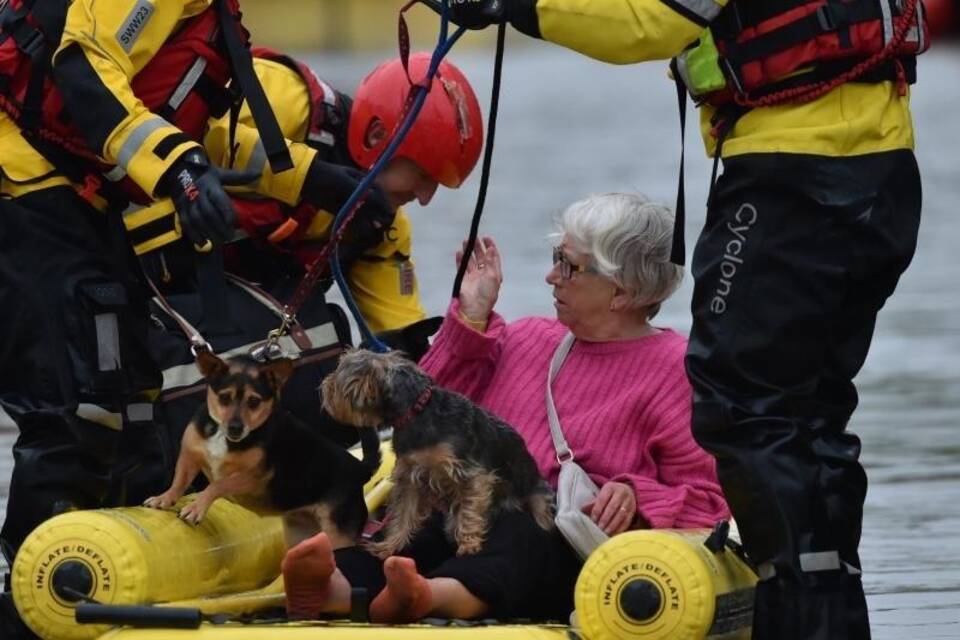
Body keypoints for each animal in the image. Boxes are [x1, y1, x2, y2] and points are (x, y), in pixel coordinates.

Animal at [144, 348, 380, 548]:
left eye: (254, 402)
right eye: (224, 397)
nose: (236, 427)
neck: (224, 437)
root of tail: (359, 469)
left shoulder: (251, 478)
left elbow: (216, 485)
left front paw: (195, 508)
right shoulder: (189, 456)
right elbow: (179, 481)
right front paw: (164, 498)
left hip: (338, 535)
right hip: (301, 536)